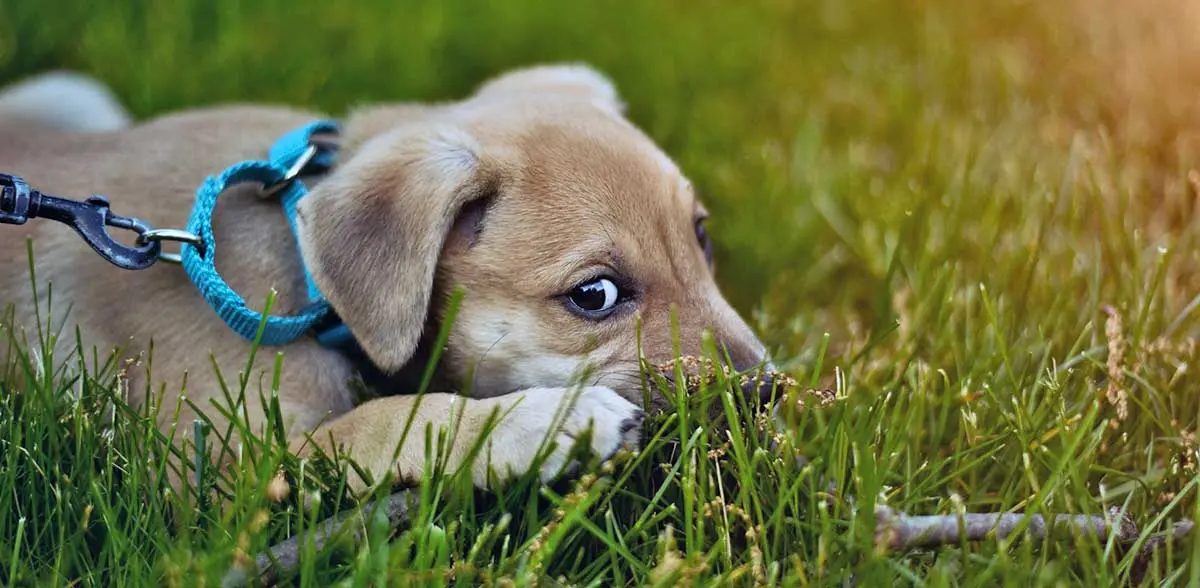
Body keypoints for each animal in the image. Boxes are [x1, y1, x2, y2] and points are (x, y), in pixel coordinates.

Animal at [0, 66, 768, 494]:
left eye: (701, 235)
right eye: (595, 295)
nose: (764, 393)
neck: (306, 281)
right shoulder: (218, 475)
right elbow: (386, 420)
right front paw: (545, 423)